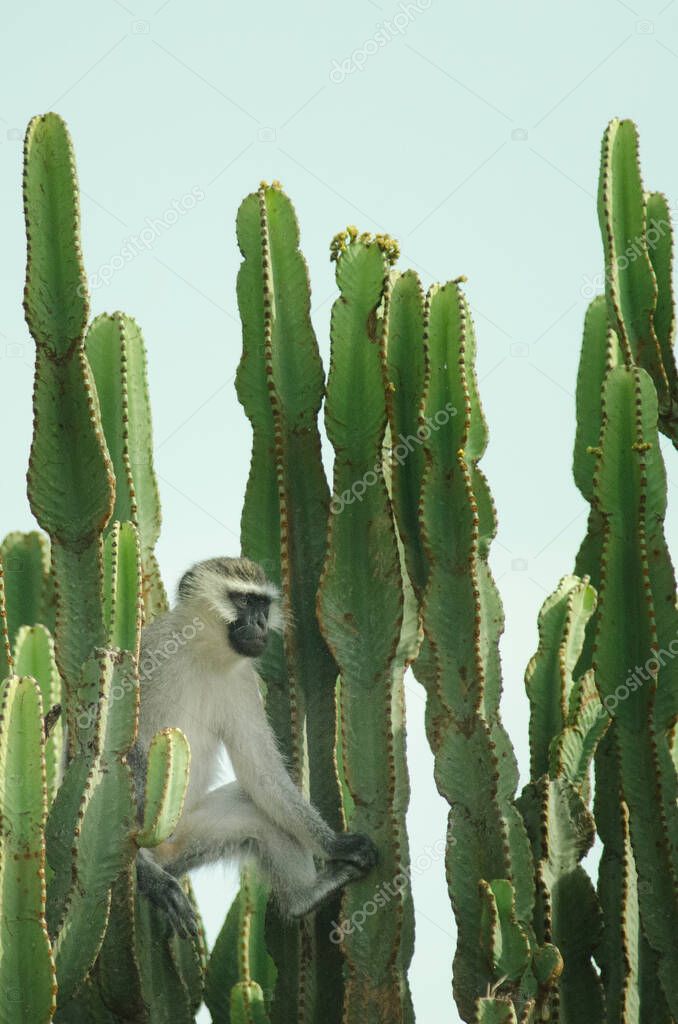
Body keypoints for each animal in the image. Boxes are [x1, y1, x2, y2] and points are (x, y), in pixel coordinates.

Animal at [133, 561, 376, 937]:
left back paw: (305, 897)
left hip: (186, 841)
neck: (203, 652)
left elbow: (261, 772)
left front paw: (337, 845)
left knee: (258, 810)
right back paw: (145, 873)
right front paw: (148, 879)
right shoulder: (150, 651)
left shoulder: (243, 679)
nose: (261, 623)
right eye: (244, 601)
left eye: (263, 604)